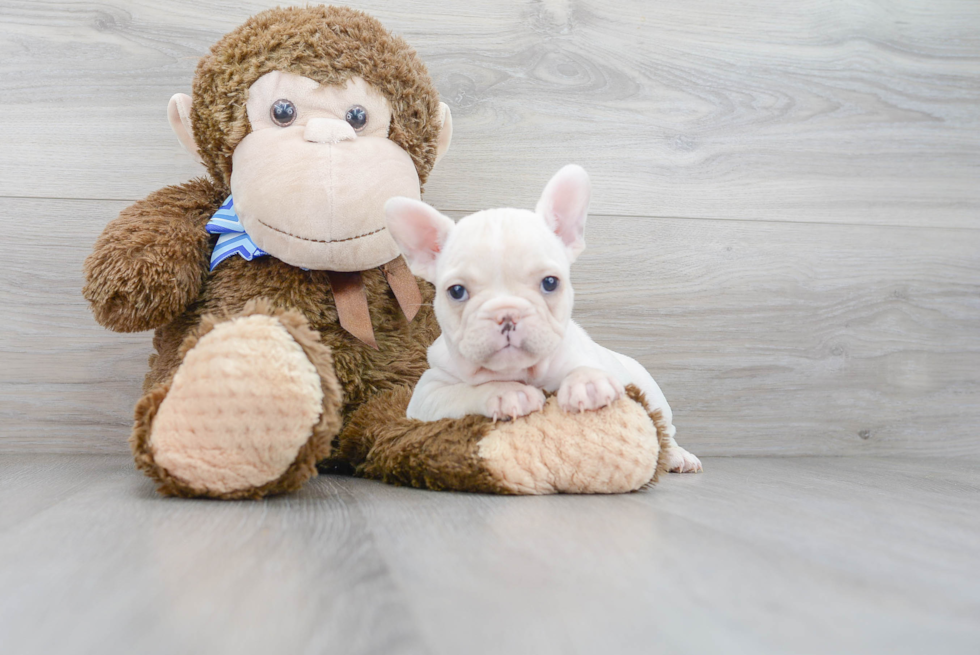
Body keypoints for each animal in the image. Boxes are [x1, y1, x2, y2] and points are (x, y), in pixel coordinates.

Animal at [384, 164, 704, 472]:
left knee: (665, 429)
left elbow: (585, 366)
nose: (507, 314)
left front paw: (588, 383)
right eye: (457, 291)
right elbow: (463, 391)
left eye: (550, 283)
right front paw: (507, 393)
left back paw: (678, 456)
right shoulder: (427, 393)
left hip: (653, 395)